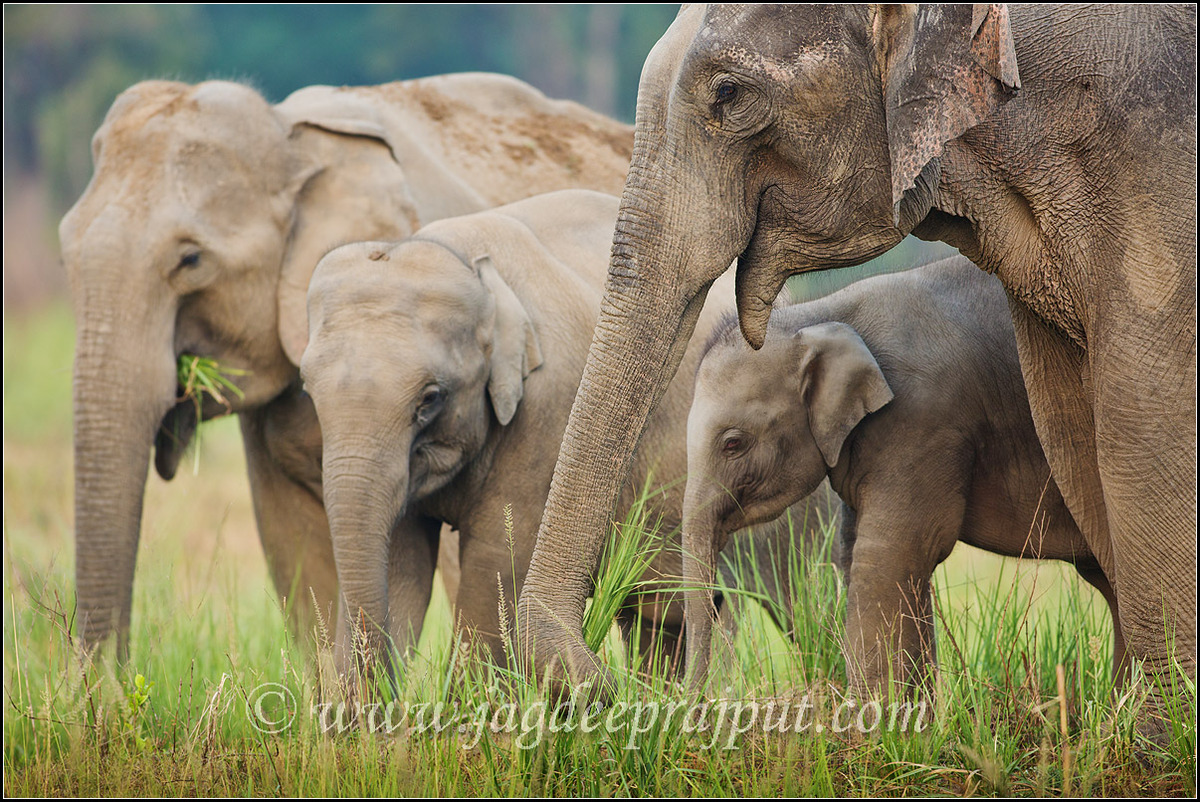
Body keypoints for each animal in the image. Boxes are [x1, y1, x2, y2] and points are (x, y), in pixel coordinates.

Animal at [299, 189, 834, 681]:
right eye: (306, 386)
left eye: (430, 398)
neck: (464, 259)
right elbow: (402, 562)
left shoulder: (546, 415)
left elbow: (494, 567)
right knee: (662, 618)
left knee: (790, 595)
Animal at [682, 256, 1124, 695]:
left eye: (733, 443)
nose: (698, 699)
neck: (818, 317)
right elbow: (861, 554)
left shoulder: (923, 422)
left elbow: (890, 556)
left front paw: (879, 715)